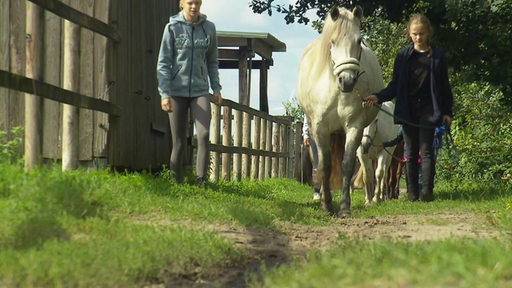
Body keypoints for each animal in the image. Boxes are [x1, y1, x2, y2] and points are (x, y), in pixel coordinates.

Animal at [296, 5, 384, 216]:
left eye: (359, 41)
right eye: (333, 41)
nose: (348, 80)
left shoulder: (354, 127)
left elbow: (347, 164)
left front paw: (344, 207)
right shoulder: (320, 129)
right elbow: (324, 166)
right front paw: (326, 204)